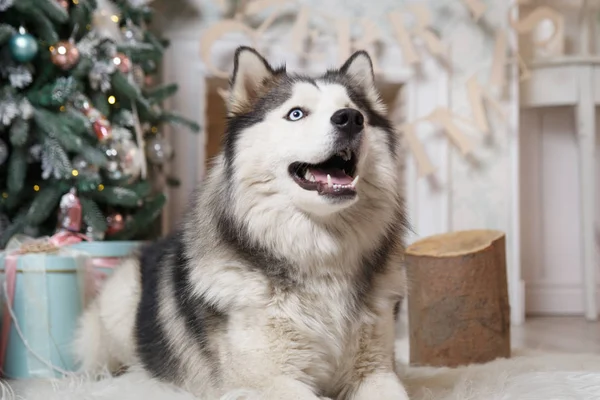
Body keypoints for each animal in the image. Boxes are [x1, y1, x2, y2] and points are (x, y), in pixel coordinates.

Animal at [74, 47, 412, 400]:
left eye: (357, 111)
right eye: (296, 114)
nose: (350, 118)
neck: (319, 252)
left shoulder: (376, 370)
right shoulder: (268, 380)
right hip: (120, 301)